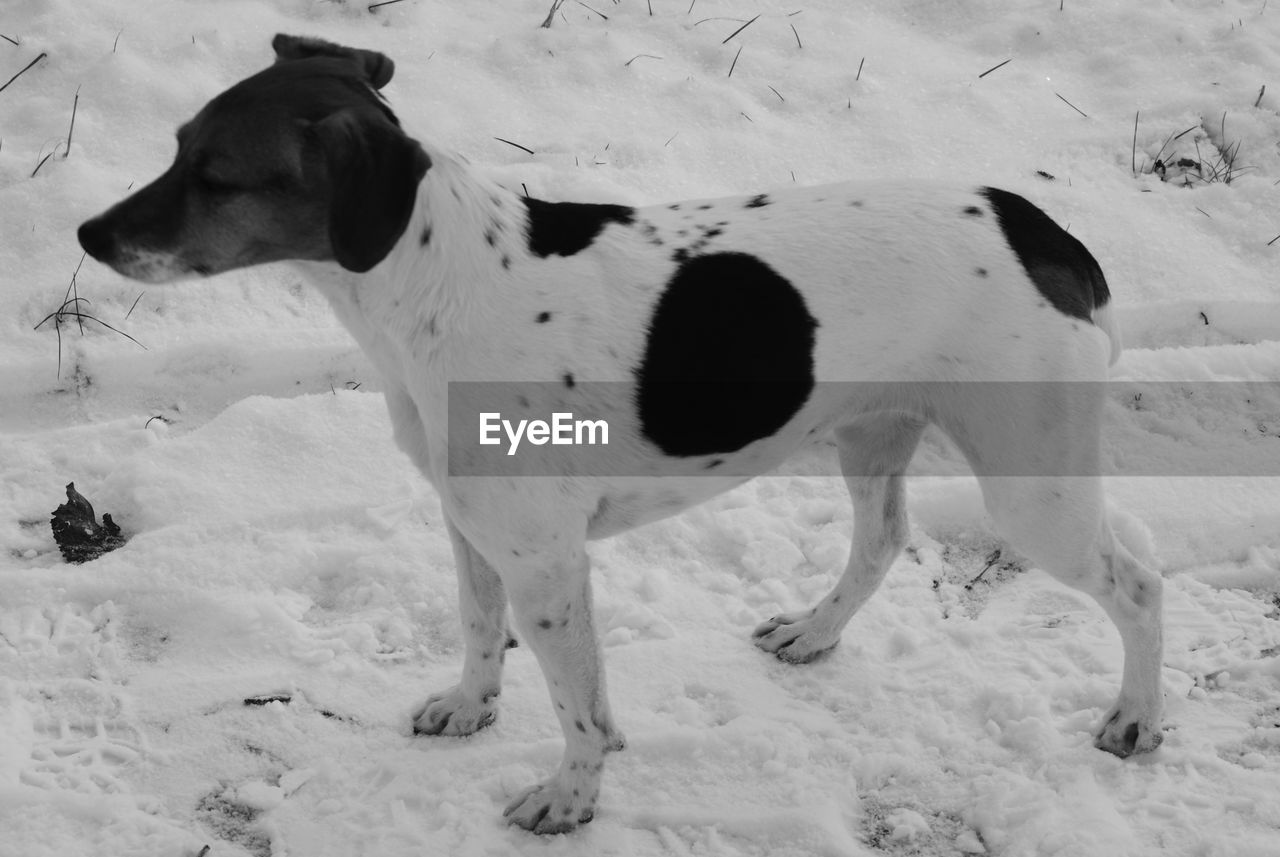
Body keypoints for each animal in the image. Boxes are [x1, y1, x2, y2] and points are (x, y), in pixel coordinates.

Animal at [77, 36, 1162, 833]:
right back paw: (813, 633)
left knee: (1140, 585)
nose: (87, 234)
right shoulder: (472, 529)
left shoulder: (548, 563)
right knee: (883, 540)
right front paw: (470, 709)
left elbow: (580, 707)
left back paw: (1135, 719)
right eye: (176, 145)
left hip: (1033, 489)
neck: (435, 284)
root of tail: (1047, 232)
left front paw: (570, 797)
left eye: (216, 176)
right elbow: (478, 631)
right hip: (871, 431)